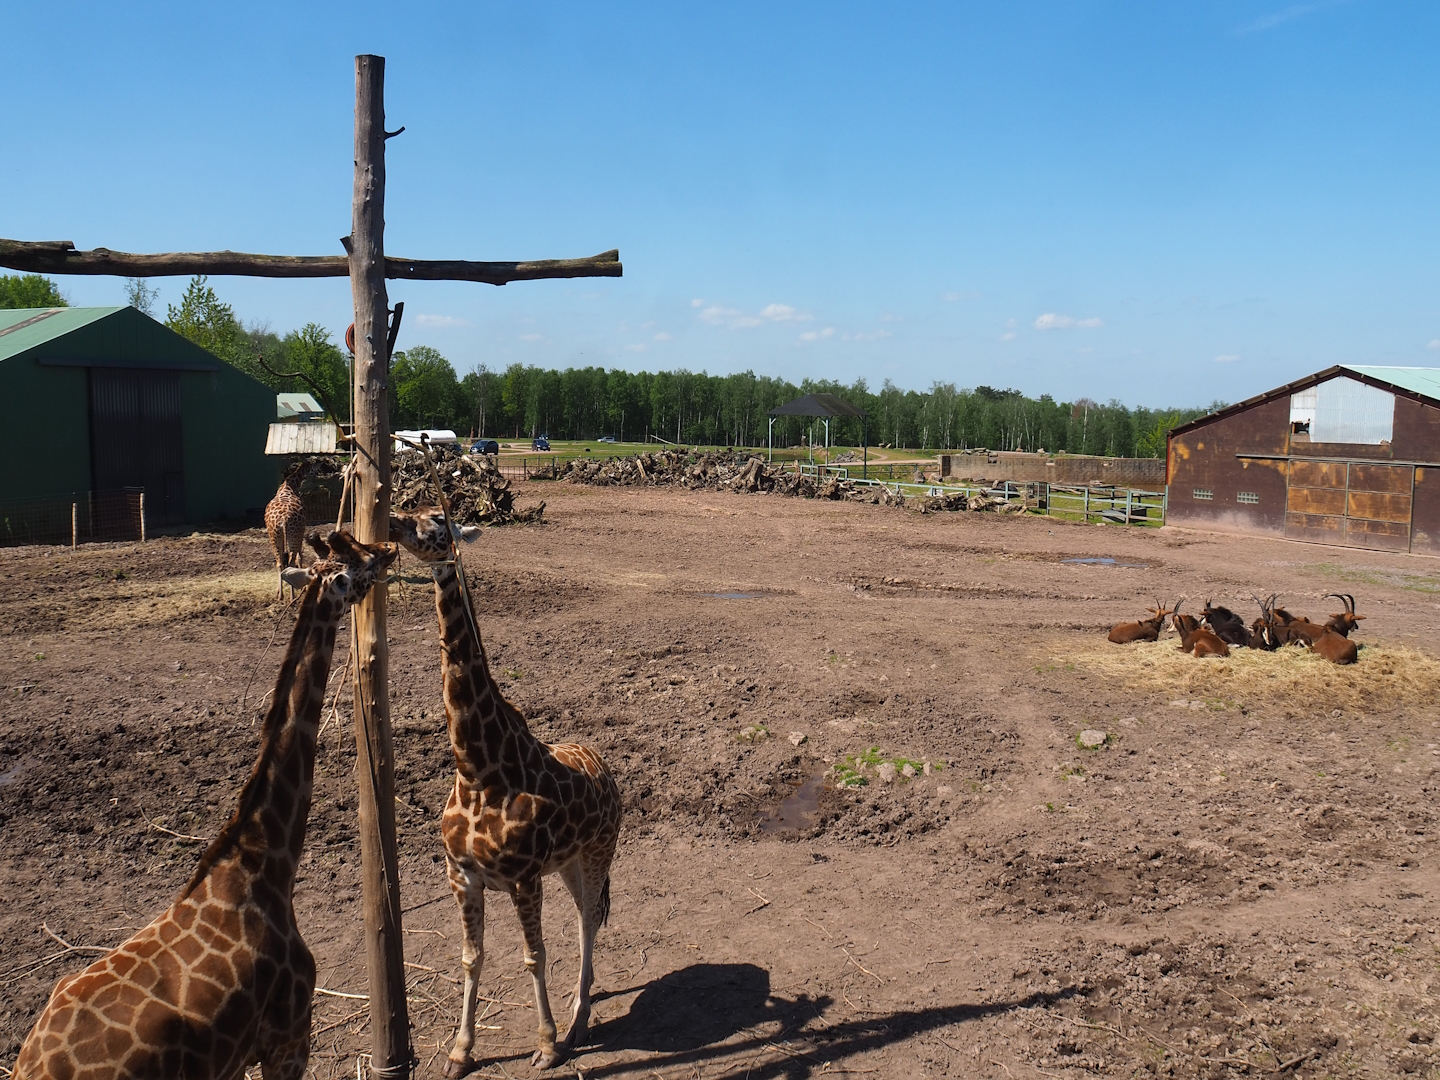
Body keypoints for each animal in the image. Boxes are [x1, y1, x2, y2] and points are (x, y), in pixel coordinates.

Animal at [14, 530, 398, 1080]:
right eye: (358, 561)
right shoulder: (289, 1037)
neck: (264, 865)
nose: (389, 548)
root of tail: (31, 1066)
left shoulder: (237, 1059)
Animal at [265, 464, 308, 600]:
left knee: (280, 563)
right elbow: (300, 556)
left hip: (275, 537)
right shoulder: (302, 531)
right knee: (290, 562)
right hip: (293, 536)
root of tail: (283, 520)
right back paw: (292, 597)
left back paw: (280, 595)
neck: (289, 486)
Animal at [389, 508, 622, 1073]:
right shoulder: (463, 875)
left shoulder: (522, 877)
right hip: (568, 863)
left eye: (437, 520)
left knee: (589, 921)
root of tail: (607, 768)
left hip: (597, 852)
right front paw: (459, 1051)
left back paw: (578, 1022)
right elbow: (472, 958)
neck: (477, 769)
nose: (394, 521)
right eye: (413, 505)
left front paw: (547, 1045)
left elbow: (534, 955)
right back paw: (578, 1004)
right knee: (584, 916)